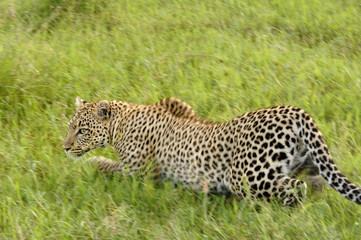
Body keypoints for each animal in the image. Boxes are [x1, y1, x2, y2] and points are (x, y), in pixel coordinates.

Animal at [63, 96, 358, 205]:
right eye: (69, 127)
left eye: (82, 130)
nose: (65, 147)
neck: (121, 122)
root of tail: (294, 110)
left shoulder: (137, 174)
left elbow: (109, 166)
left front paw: (92, 163)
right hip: (312, 163)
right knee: (317, 183)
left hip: (246, 177)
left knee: (295, 189)